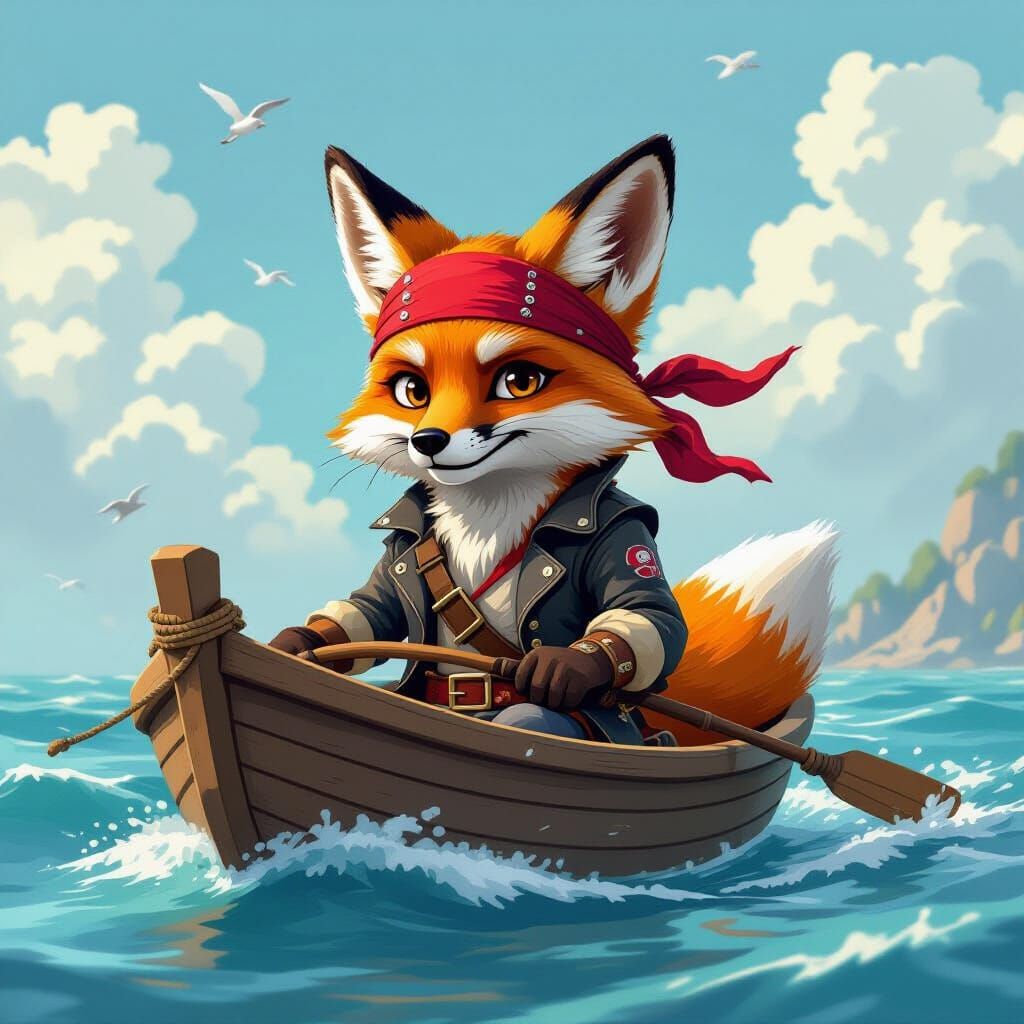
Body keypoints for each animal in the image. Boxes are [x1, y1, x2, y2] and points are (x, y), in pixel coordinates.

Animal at [269, 135, 836, 745]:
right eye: (412, 390)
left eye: (518, 381)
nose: (429, 440)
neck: (487, 522)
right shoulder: (400, 554)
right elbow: (368, 609)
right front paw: (298, 642)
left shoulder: (624, 531)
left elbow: (649, 614)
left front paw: (565, 667)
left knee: (533, 717)